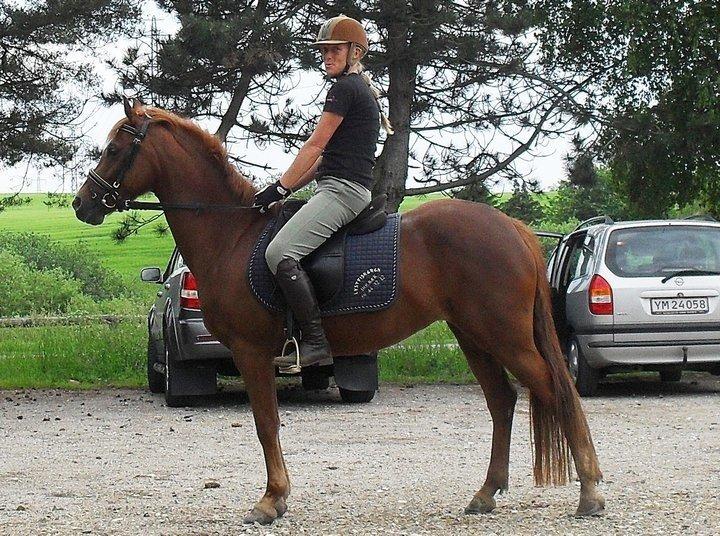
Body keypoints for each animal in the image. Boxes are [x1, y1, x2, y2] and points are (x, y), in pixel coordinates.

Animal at [73, 98, 604, 524]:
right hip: (473, 335)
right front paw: (277, 498)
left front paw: (272, 500)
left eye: (116, 149)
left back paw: (590, 493)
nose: (82, 204)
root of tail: (511, 228)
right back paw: (486, 493)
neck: (232, 235)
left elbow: (266, 424)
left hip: (504, 335)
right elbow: (268, 425)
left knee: (556, 390)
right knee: (502, 401)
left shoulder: (251, 352)